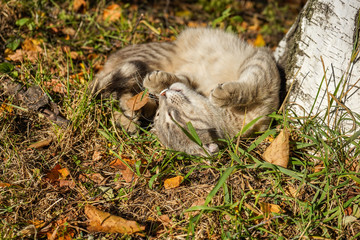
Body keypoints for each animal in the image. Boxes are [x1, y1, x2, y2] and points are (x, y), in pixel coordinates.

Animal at [90, 27, 282, 156]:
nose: (163, 95)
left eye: (169, 115)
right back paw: (129, 117)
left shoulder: (261, 65)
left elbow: (250, 86)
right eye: (164, 114)